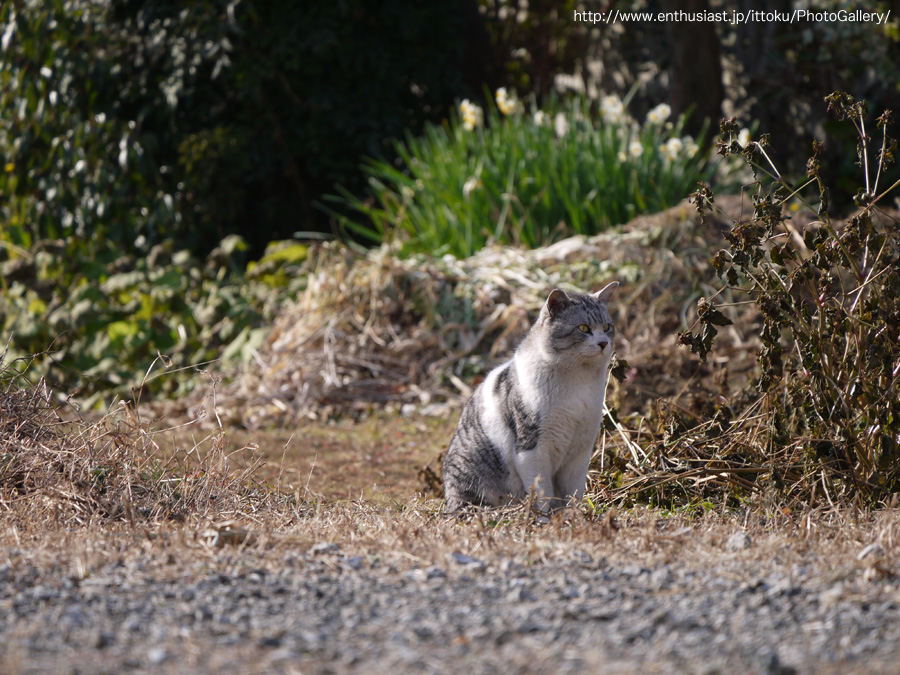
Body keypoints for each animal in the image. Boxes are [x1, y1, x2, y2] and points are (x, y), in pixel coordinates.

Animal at [442, 282, 620, 512]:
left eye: (607, 327)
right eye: (583, 328)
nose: (603, 343)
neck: (578, 380)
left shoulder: (580, 452)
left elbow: (573, 492)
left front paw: (573, 514)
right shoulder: (532, 449)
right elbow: (542, 492)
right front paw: (543, 518)